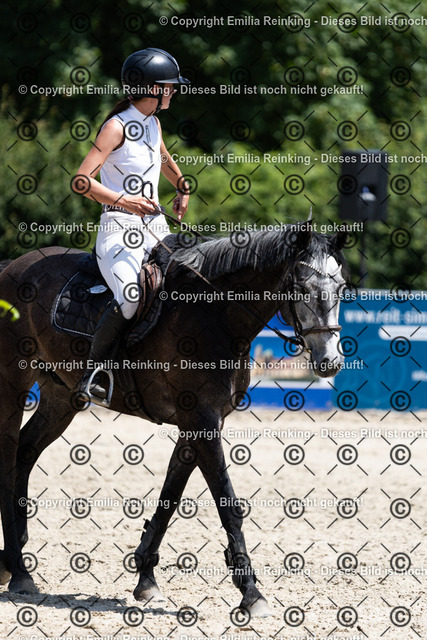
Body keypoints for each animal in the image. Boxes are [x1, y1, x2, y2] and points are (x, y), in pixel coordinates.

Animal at [0, 223, 349, 617]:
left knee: (25, 452)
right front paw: (250, 593)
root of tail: (13, 266)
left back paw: (14, 560)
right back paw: (18, 571)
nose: (329, 361)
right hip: (12, 383)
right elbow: (227, 504)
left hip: (61, 397)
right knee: (8, 462)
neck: (216, 316)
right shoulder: (200, 420)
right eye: (302, 288)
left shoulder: (199, 422)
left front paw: (146, 580)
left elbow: (170, 498)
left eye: (341, 287)